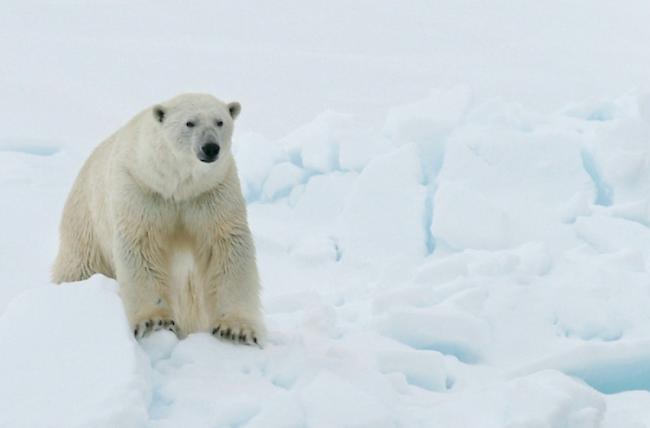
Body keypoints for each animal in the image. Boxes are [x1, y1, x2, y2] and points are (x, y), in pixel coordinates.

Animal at [51, 93, 264, 344]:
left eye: (220, 121)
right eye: (189, 123)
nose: (210, 148)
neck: (178, 187)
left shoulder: (211, 192)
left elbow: (225, 246)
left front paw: (235, 330)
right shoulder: (142, 189)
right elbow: (142, 247)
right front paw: (155, 322)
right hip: (86, 227)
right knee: (80, 266)